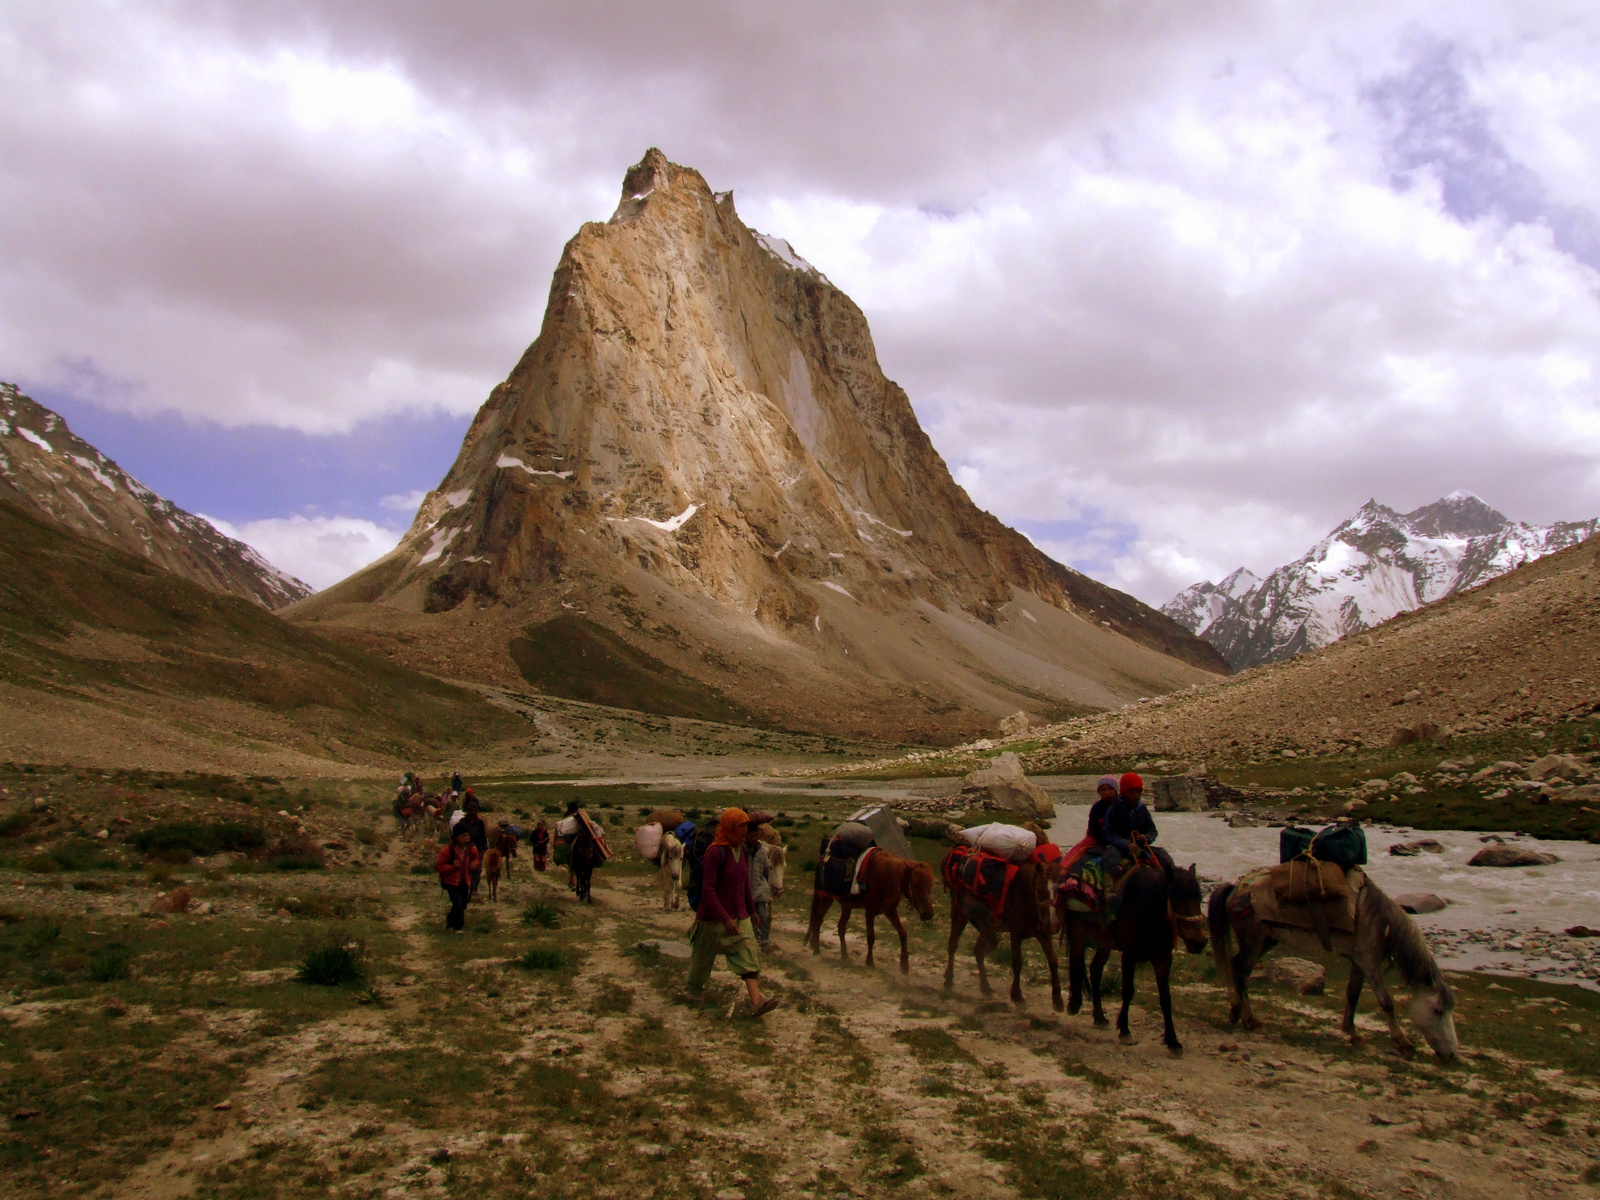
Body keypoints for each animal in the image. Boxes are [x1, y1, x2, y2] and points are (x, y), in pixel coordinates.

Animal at [800, 851, 934, 972]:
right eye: (916, 885)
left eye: (930, 886)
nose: (929, 914)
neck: (885, 877)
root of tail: (822, 860)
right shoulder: (870, 911)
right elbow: (871, 937)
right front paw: (869, 962)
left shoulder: (890, 911)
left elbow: (903, 933)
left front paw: (905, 965)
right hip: (826, 898)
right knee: (818, 920)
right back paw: (817, 949)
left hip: (846, 906)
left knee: (840, 926)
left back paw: (844, 955)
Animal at [1056, 851, 1203, 1056]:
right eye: (1176, 899)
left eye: (1199, 898)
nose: (1199, 943)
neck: (1149, 910)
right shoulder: (1129, 955)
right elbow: (1127, 991)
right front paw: (1125, 1030)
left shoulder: (1163, 958)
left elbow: (1166, 998)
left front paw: (1173, 1041)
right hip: (1078, 932)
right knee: (1076, 962)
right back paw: (1074, 1004)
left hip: (1105, 941)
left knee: (1095, 970)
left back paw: (1099, 1017)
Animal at [1209, 825, 1465, 1056]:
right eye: (1438, 1010)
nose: (1451, 1054)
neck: (1377, 920)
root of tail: (1235, 889)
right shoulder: (1370, 962)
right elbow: (1386, 1001)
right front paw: (1403, 1042)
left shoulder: (1359, 962)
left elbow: (1352, 995)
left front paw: (1353, 1033)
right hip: (1253, 942)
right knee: (1239, 971)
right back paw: (1248, 1019)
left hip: (1265, 941)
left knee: (1239, 970)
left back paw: (1239, 1014)